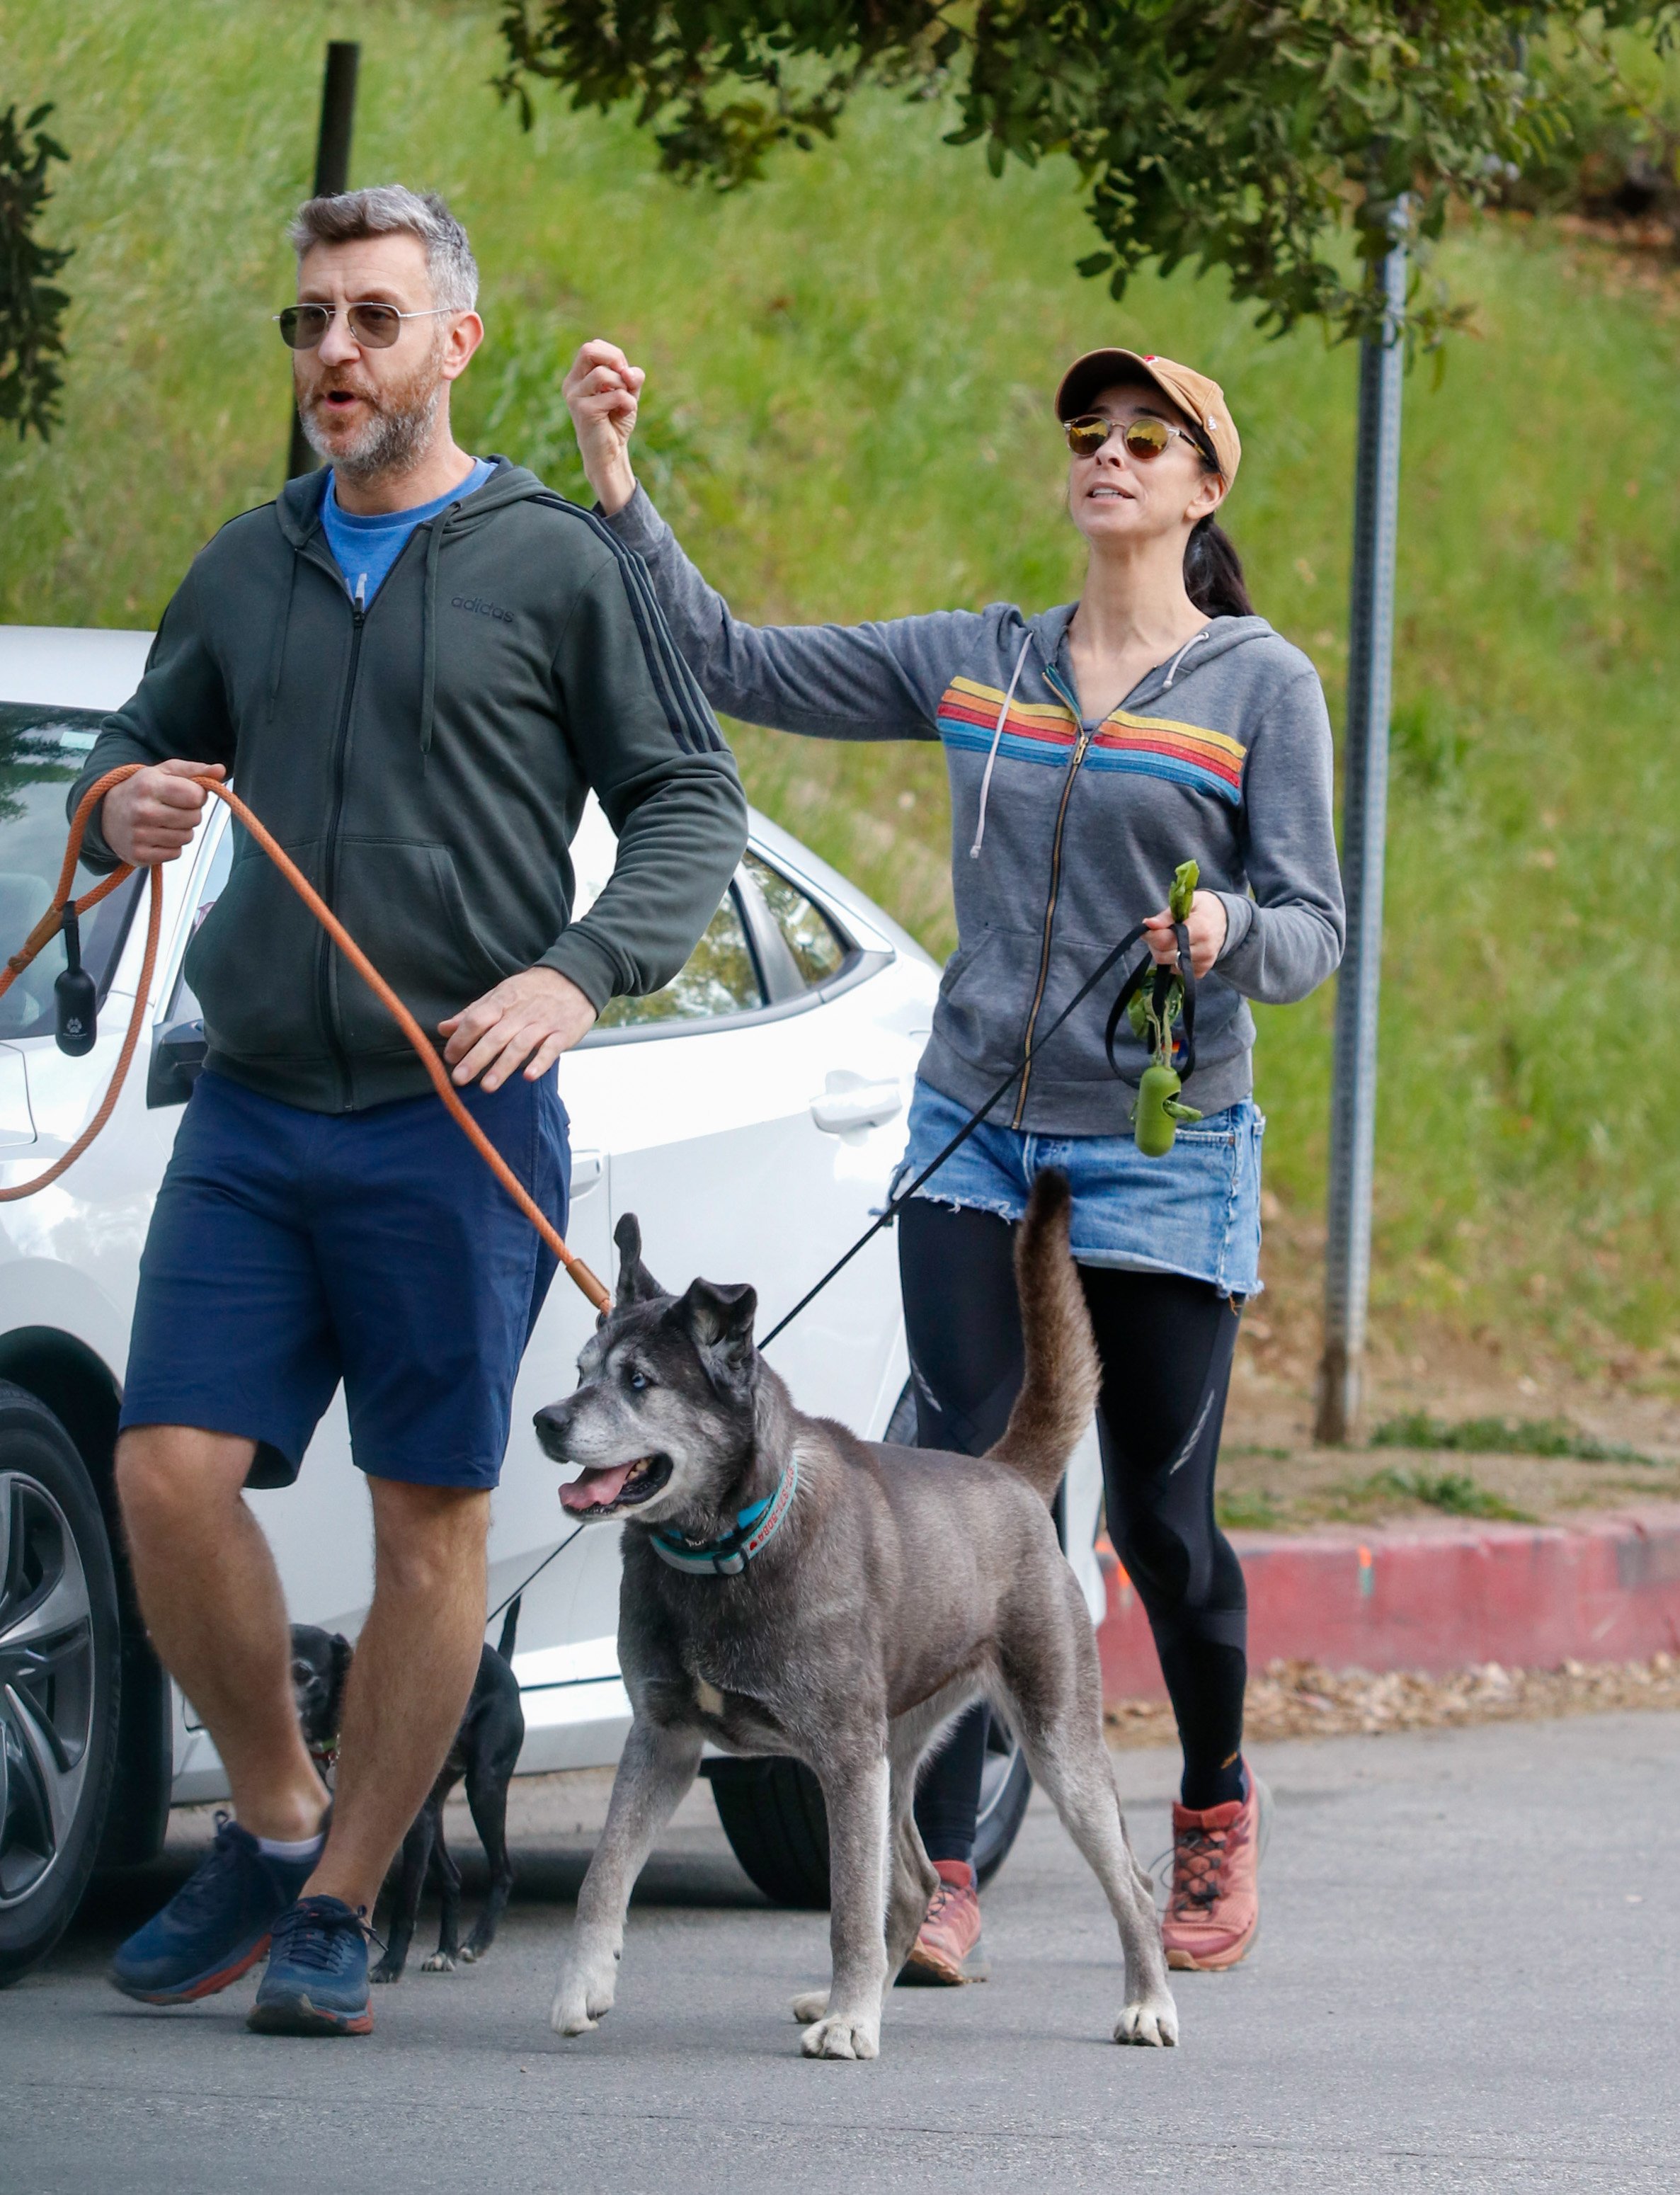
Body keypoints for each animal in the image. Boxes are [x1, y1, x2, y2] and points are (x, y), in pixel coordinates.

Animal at [287, 1607, 525, 1984]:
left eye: (302, 1672)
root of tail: (500, 1661)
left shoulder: (411, 1830)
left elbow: (405, 1904)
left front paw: (390, 1964)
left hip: (483, 1789)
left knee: (503, 1871)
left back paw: (476, 1941)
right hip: (433, 1812)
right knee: (453, 1878)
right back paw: (445, 1952)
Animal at [531, 1176, 1177, 2046]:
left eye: (639, 1382)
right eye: (580, 1371)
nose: (546, 1420)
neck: (729, 1545)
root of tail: (1007, 1475)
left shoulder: (843, 1759)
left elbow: (848, 1907)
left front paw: (848, 2026)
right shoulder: (661, 1741)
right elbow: (602, 1876)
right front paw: (583, 1987)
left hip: (1054, 1747)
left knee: (1129, 1883)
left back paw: (1147, 2002)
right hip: (896, 1754)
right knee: (913, 1885)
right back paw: (861, 1992)